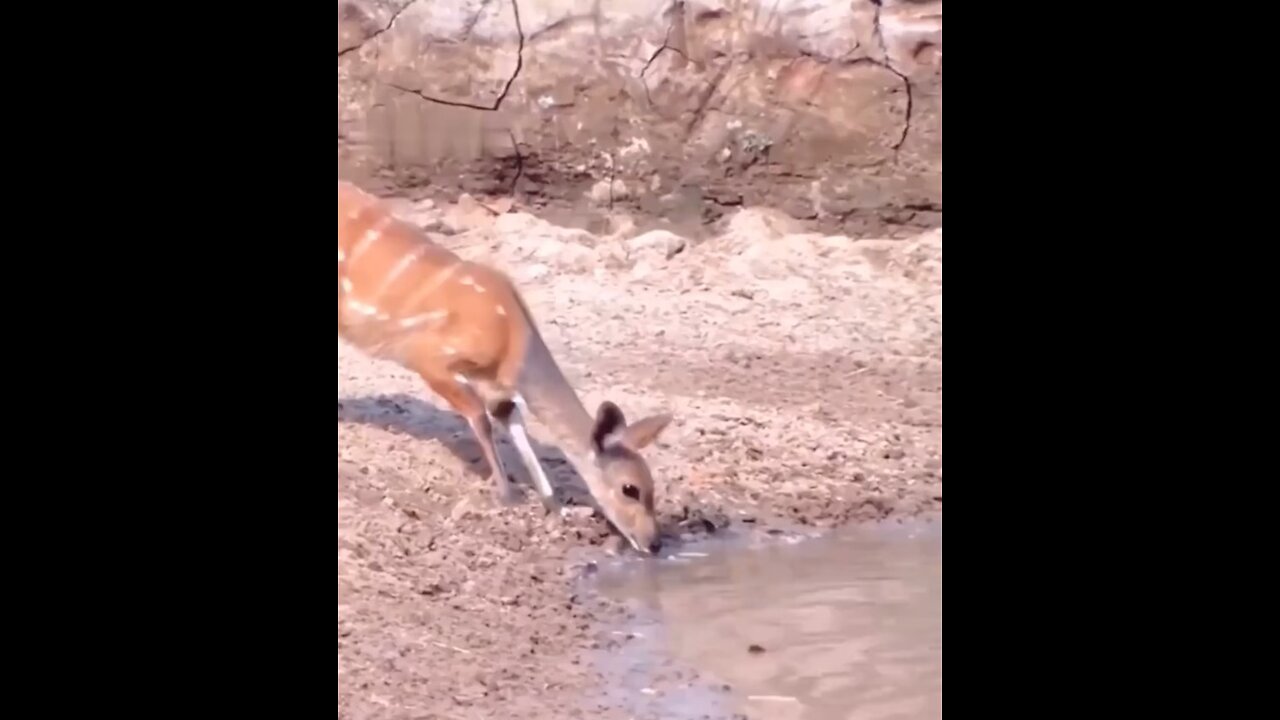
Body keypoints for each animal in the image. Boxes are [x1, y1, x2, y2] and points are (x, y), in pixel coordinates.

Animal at [335, 179, 675, 556]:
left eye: (653, 485)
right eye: (630, 488)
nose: (654, 543)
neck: (513, 339)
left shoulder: (497, 388)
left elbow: (512, 424)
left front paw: (557, 506)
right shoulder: (429, 358)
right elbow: (480, 418)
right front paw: (508, 494)